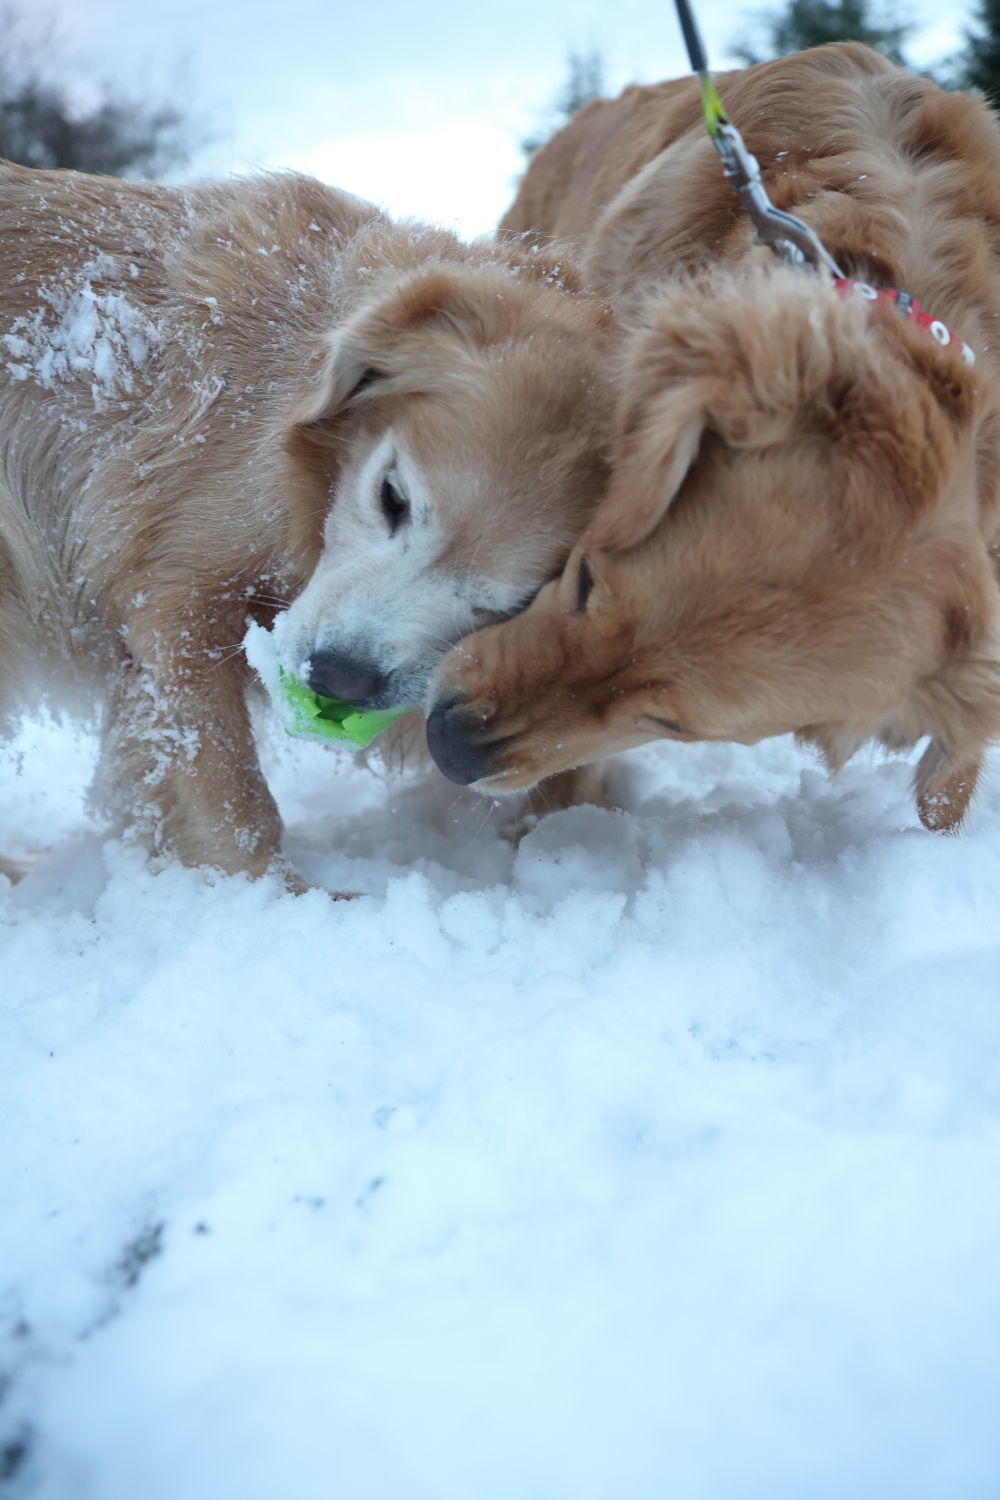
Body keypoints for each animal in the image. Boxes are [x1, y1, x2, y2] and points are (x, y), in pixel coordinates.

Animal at [0, 164, 614, 882]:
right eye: (392, 496)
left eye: (522, 599)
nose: (340, 678)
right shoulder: (174, 598)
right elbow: (226, 792)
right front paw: (273, 894)